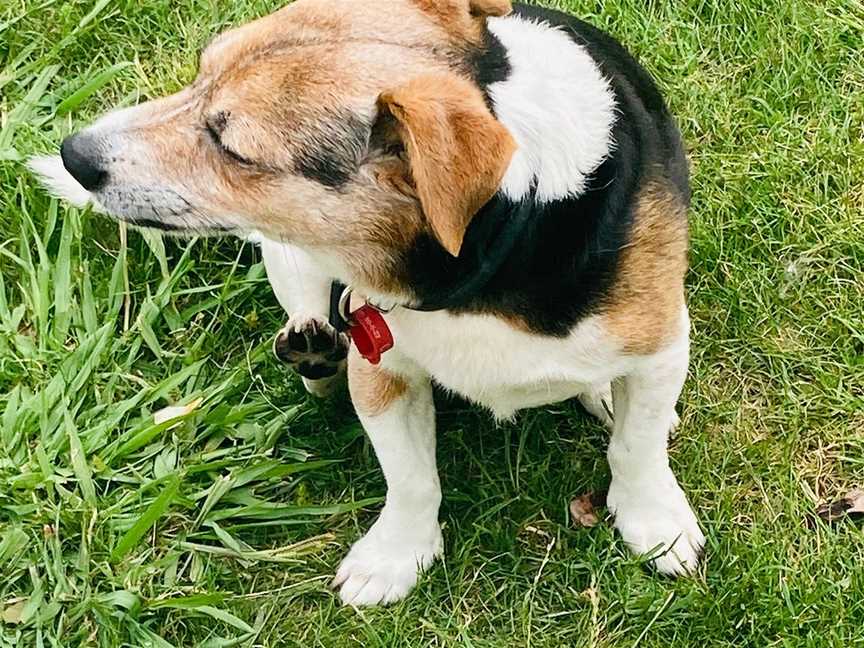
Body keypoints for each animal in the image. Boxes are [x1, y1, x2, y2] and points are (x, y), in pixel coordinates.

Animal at [35, 0, 708, 608]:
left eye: (233, 148)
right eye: (201, 74)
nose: (74, 153)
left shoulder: (661, 346)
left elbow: (635, 449)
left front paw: (654, 524)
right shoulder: (381, 367)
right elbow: (410, 480)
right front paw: (396, 557)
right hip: (289, 255)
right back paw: (313, 351)